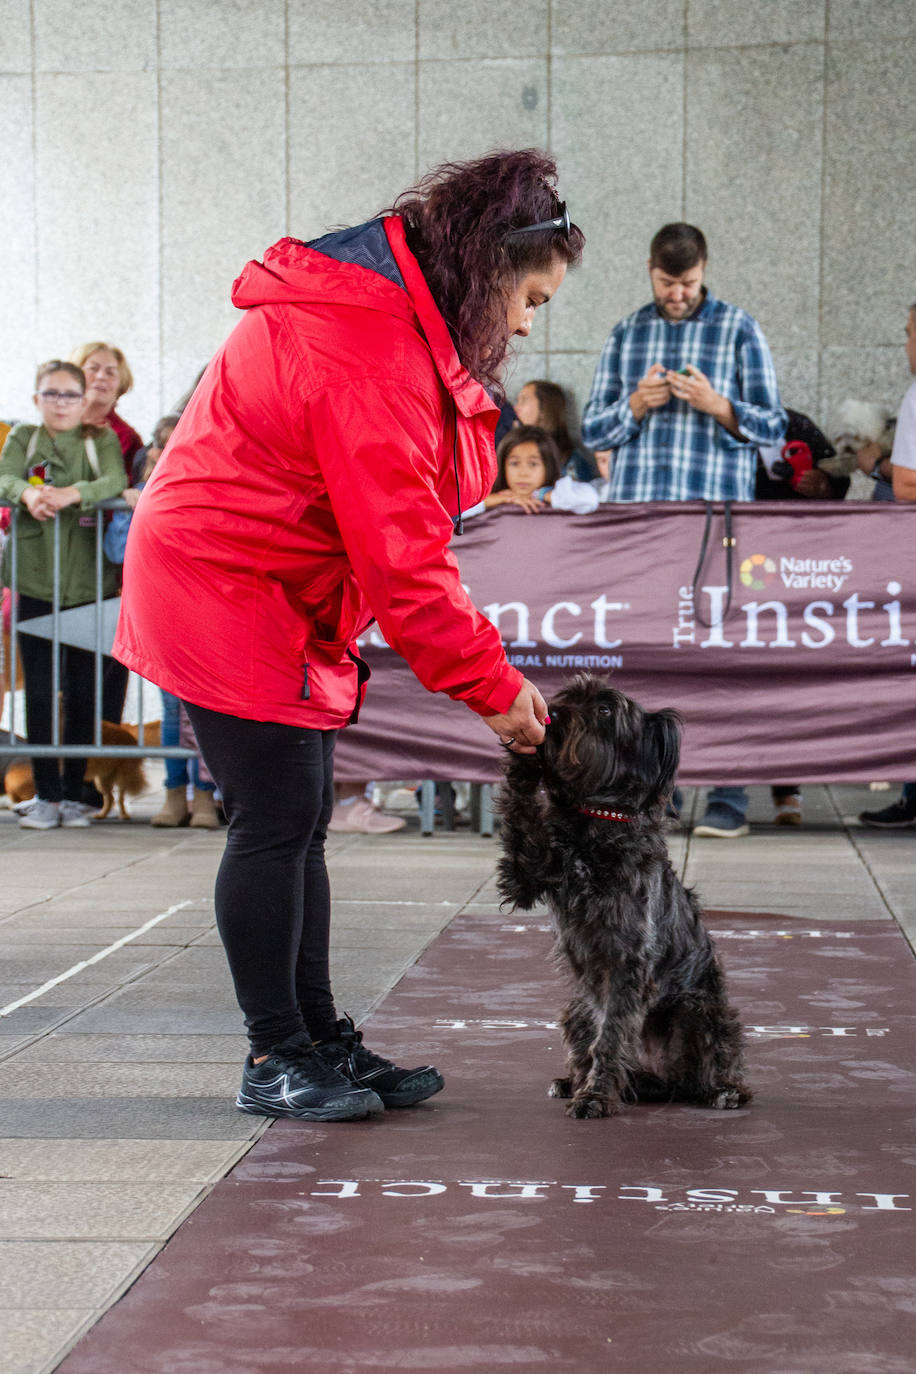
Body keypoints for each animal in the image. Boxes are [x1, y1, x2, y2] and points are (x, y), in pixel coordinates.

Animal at [502, 673, 752, 1115]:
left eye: (604, 710)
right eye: (568, 698)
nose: (552, 714)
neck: (595, 818)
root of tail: (665, 1081)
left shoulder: (626, 961)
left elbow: (611, 1036)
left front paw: (595, 1097)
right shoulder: (525, 874)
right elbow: (520, 819)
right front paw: (525, 761)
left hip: (697, 1010)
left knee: (712, 1060)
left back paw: (724, 1090)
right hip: (575, 1009)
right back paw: (575, 1081)